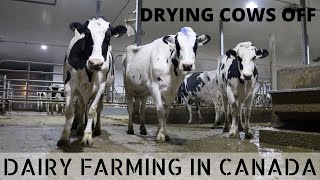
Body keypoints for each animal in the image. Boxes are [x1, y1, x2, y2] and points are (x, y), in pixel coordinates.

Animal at [57, 16, 127, 146]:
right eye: (87, 34)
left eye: (108, 36)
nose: (95, 63)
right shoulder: (69, 84)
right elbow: (69, 110)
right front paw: (64, 137)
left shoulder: (100, 87)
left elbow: (92, 111)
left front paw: (87, 136)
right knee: (81, 106)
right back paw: (80, 127)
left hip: (102, 91)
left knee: (97, 109)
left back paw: (96, 128)